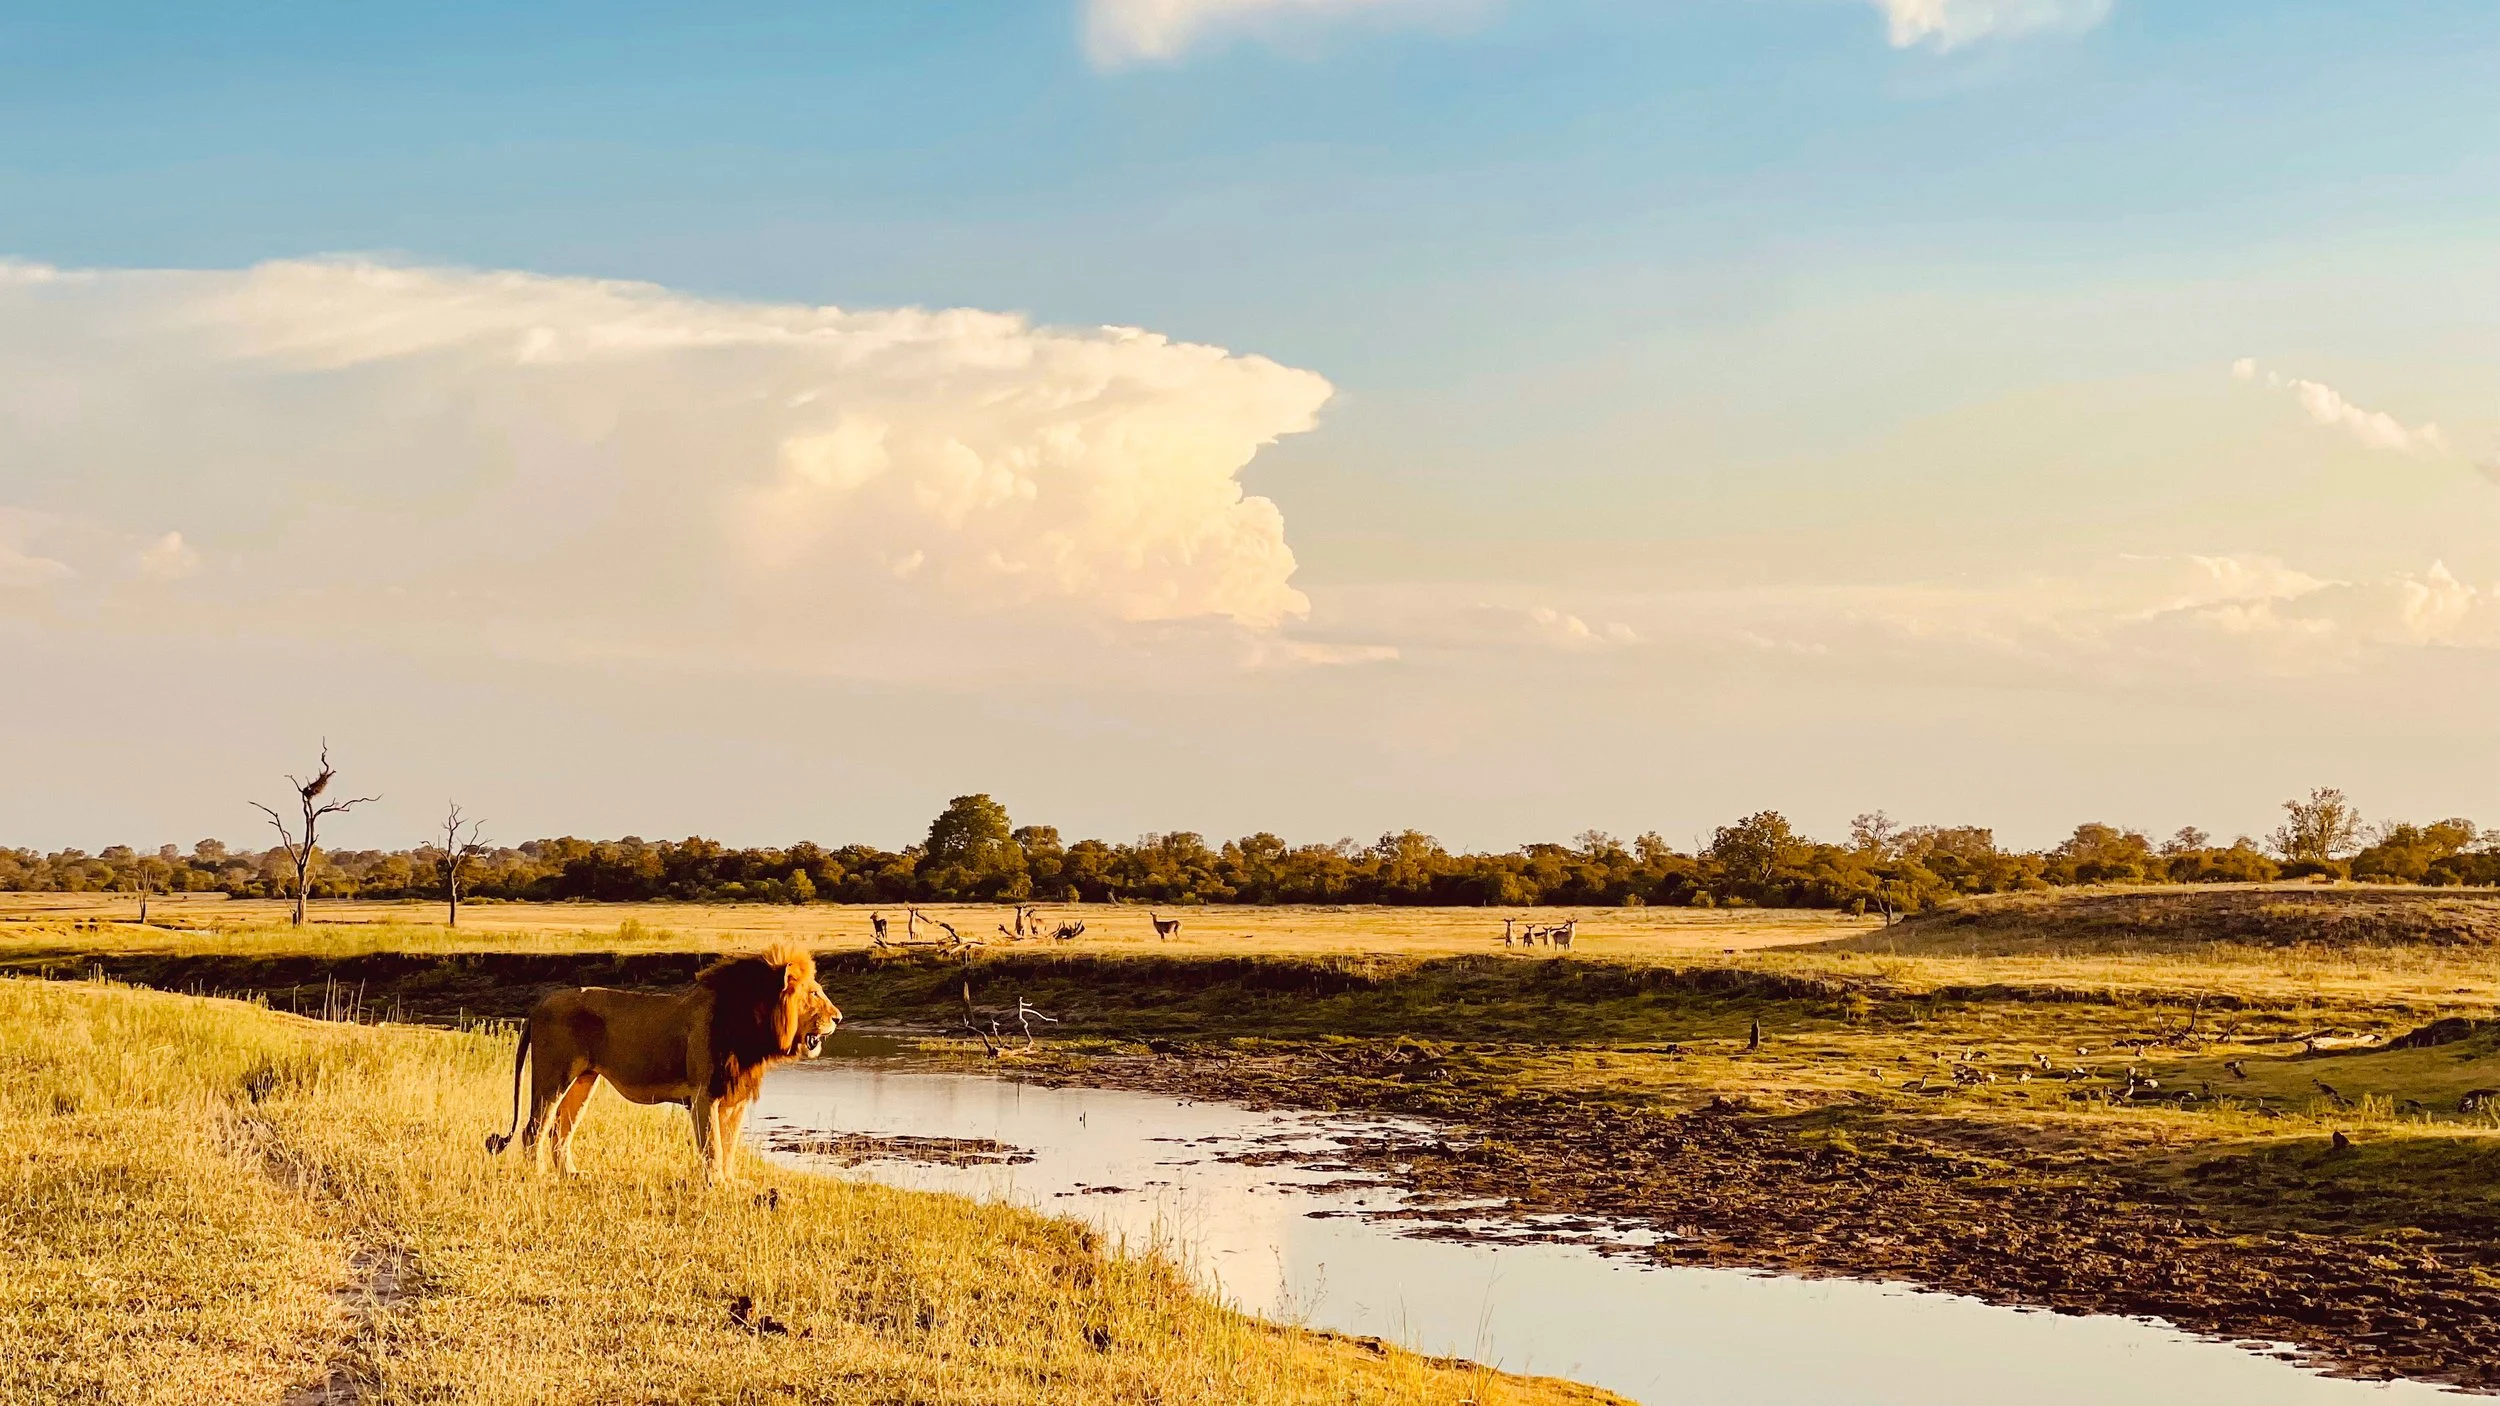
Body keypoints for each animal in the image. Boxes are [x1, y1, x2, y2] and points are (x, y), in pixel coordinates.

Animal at [484, 944, 841, 1183]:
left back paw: (571, 1174)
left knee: (560, 1130)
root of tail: (539, 1003)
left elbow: (729, 1146)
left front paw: (730, 1182)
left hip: (584, 1080)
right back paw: (540, 1175)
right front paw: (716, 1186)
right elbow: (714, 1146)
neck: (753, 1028)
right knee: (534, 1129)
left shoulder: (733, 1098)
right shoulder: (704, 1095)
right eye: (813, 994)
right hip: (553, 1076)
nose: (838, 1018)